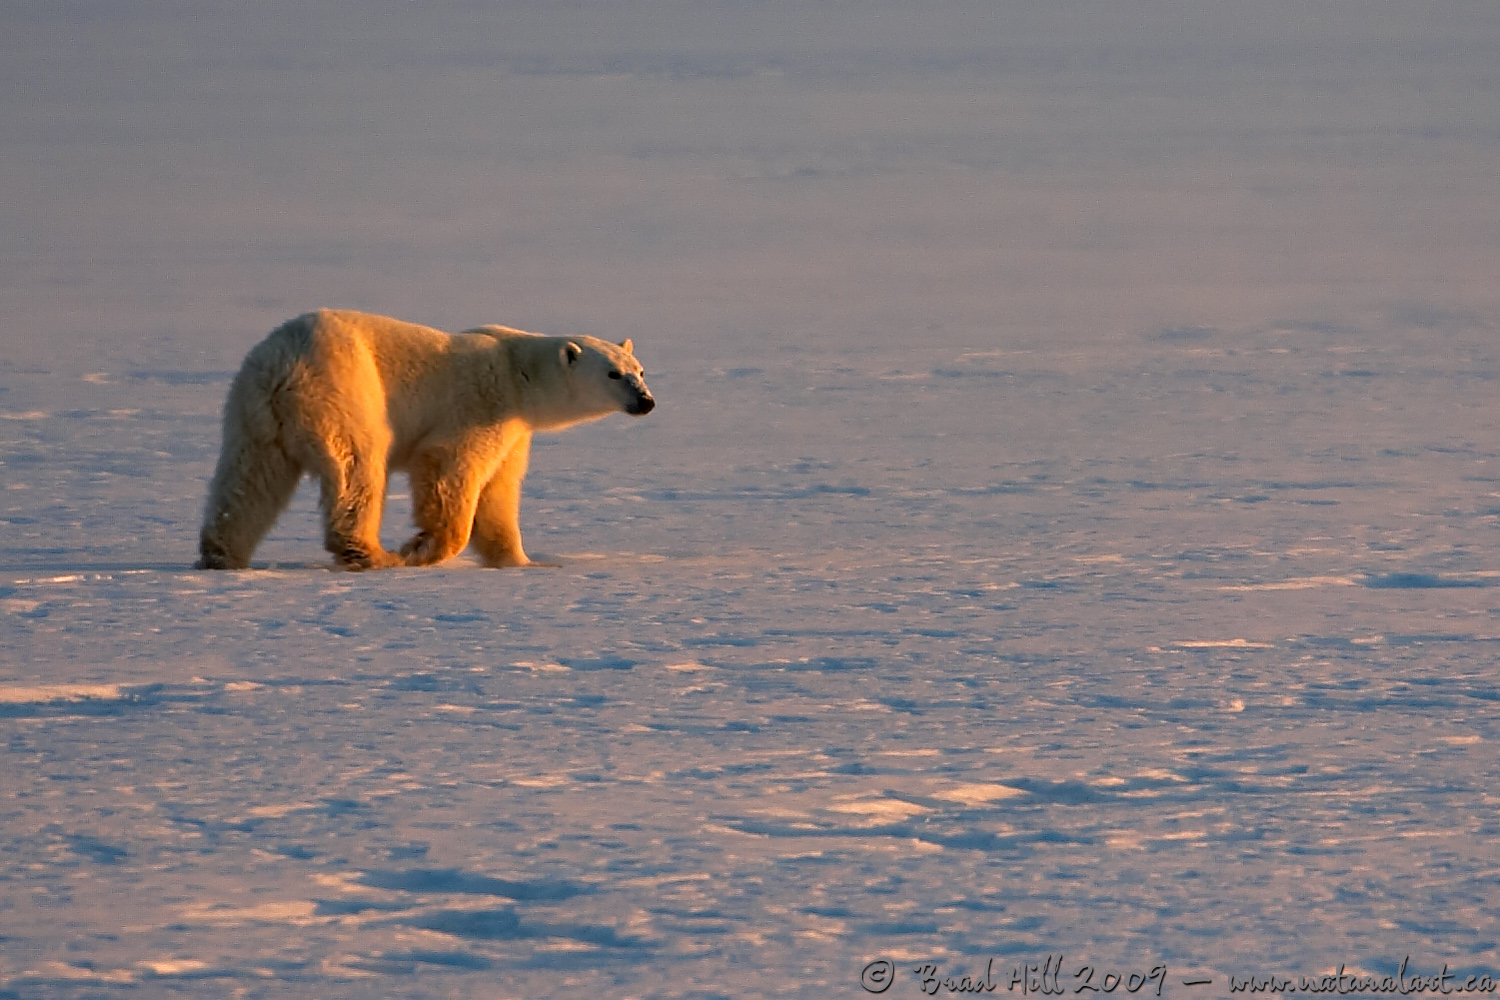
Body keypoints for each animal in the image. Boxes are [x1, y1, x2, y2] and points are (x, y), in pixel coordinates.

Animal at [193, 305, 651, 569]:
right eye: (614, 374)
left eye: (640, 370)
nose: (646, 401)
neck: (518, 370)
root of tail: (286, 364)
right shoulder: (482, 405)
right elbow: (451, 469)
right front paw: (421, 548)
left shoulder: (515, 429)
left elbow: (499, 491)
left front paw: (521, 561)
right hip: (347, 389)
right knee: (357, 467)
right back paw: (376, 555)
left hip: (253, 411)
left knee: (250, 479)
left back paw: (222, 555)